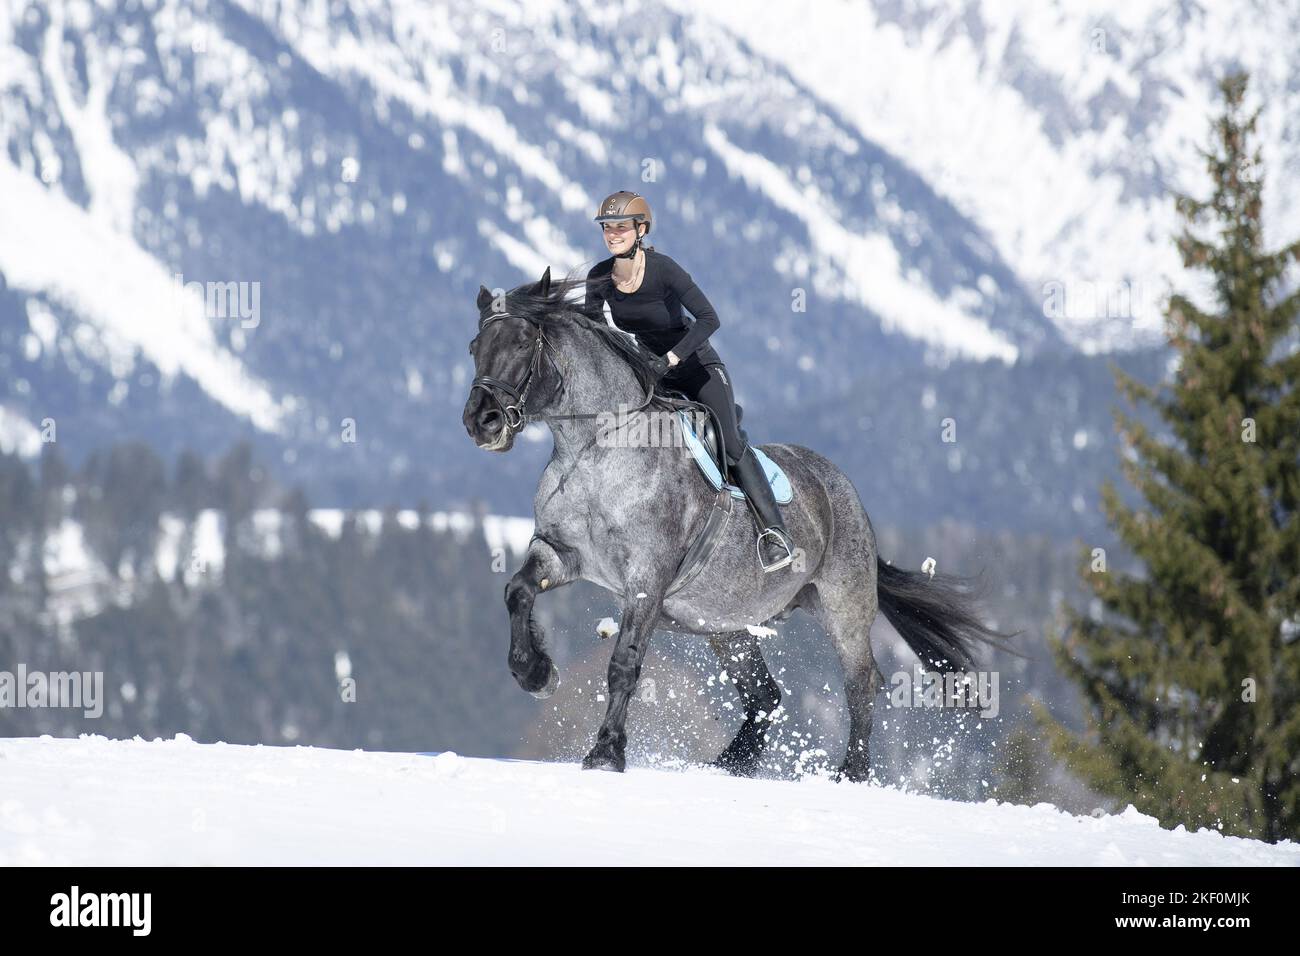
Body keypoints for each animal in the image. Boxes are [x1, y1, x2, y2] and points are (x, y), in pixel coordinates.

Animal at [461, 268, 1016, 779]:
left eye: (523, 342)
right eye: (474, 347)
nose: (480, 422)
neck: (596, 448)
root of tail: (846, 492)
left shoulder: (646, 579)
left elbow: (625, 663)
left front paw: (606, 754)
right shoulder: (560, 552)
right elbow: (518, 592)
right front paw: (536, 673)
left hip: (843, 605)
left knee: (861, 683)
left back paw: (850, 773)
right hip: (724, 624)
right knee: (765, 695)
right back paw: (731, 763)